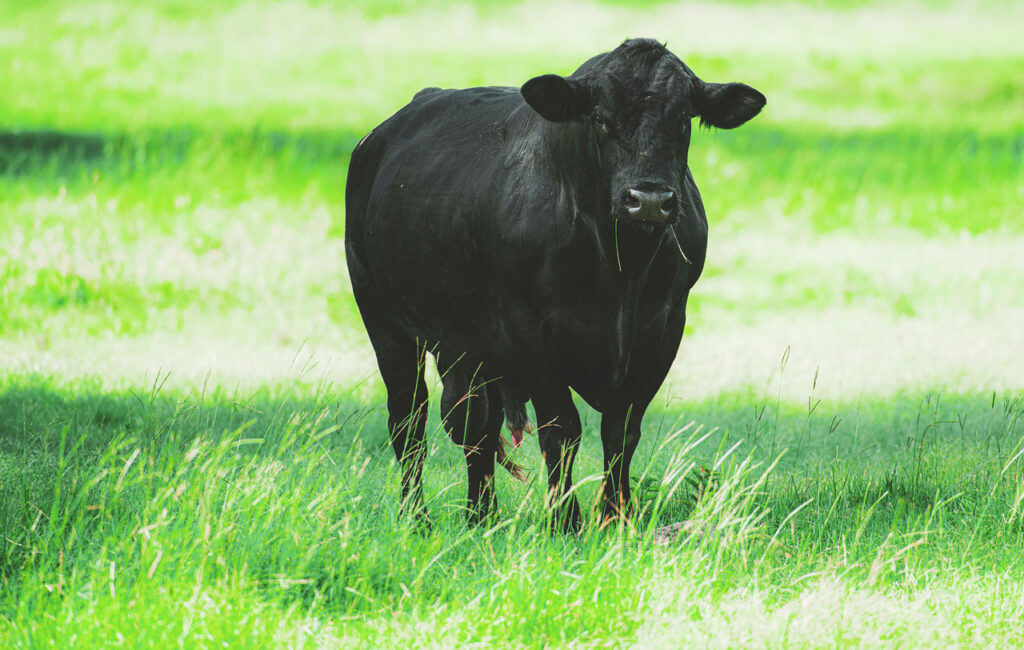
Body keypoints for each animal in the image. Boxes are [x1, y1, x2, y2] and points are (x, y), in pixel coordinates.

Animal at [348, 38, 765, 532]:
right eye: (600, 118)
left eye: (683, 119)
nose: (649, 200)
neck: (621, 269)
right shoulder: (528, 327)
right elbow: (561, 428)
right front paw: (566, 521)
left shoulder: (664, 327)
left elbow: (621, 431)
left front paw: (615, 518)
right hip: (384, 320)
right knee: (410, 421)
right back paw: (417, 518)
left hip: (470, 348)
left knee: (477, 427)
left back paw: (481, 516)